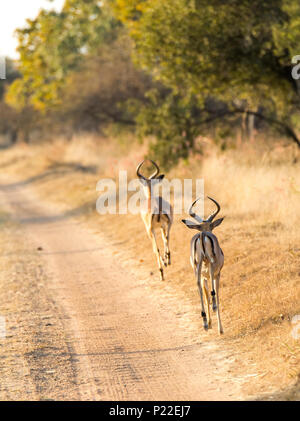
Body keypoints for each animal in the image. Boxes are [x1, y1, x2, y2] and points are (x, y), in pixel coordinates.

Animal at [182, 197, 224, 334]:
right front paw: (220, 329)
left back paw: (204, 321)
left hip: (197, 266)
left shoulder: (203, 277)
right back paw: (214, 307)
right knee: (213, 291)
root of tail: (203, 235)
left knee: (198, 286)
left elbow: (205, 297)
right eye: (212, 226)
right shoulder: (217, 274)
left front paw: (209, 323)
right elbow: (216, 294)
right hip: (211, 262)